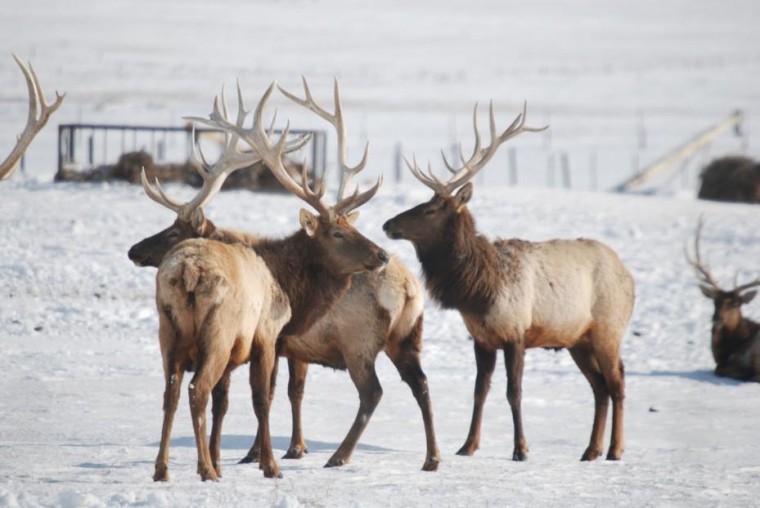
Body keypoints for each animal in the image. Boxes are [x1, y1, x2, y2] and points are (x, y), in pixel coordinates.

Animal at [130, 79, 440, 471]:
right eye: (337, 232)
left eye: (172, 232)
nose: (134, 250)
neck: (290, 282)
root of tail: (412, 288)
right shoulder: (281, 343)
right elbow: (270, 393)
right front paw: (267, 452)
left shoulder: (272, 339)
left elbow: (255, 395)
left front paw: (252, 456)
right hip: (399, 340)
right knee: (419, 385)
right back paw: (430, 456)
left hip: (359, 343)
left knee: (376, 392)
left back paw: (340, 456)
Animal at [382, 101, 635, 462]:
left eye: (430, 209)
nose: (388, 224)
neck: (479, 292)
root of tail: (628, 275)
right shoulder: (482, 338)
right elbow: (479, 391)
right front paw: (467, 446)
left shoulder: (516, 332)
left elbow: (513, 391)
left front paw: (521, 449)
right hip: (578, 340)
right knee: (599, 387)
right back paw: (590, 450)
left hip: (608, 329)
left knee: (617, 382)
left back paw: (615, 450)